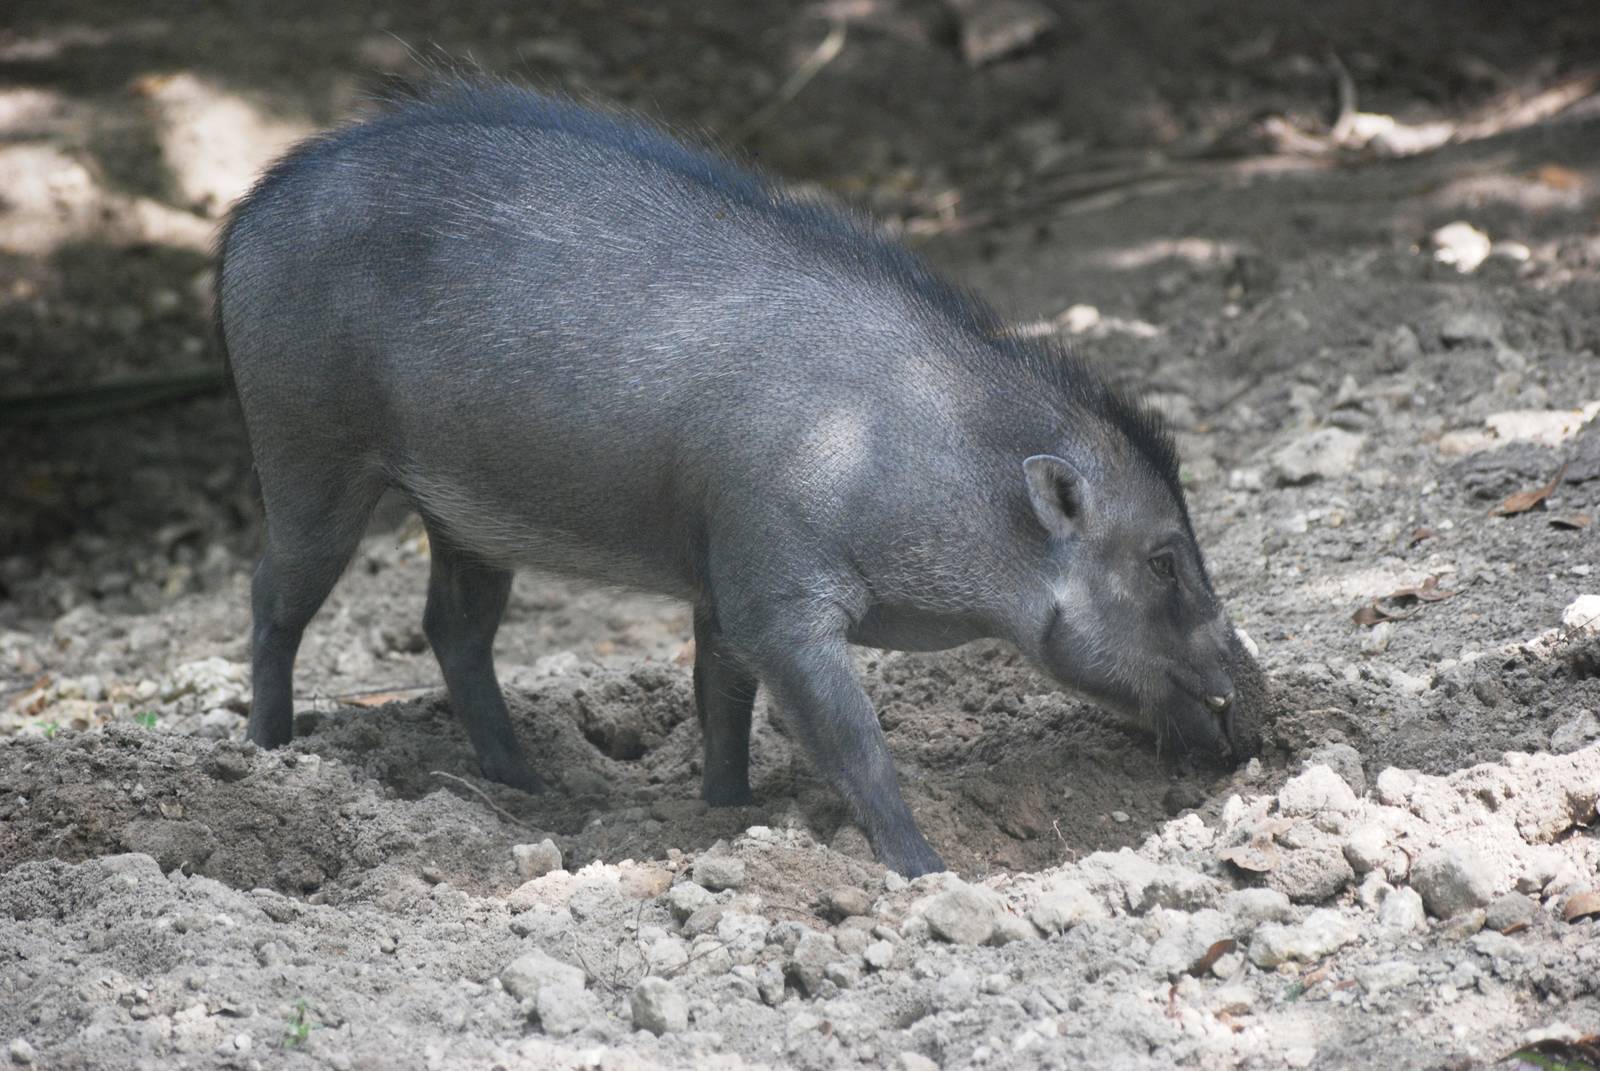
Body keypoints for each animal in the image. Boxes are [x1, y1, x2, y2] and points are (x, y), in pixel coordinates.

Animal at [217, 82, 1255, 877]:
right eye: (1164, 560)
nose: (1259, 705)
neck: (899, 454)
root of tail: (244, 219)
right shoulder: (777, 597)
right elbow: (855, 742)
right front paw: (926, 870)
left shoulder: (721, 584)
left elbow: (722, 700)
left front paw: (727, 809)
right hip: (308, 457)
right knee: (273, 596)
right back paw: (270, 753)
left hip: (463, 518)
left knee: (452, 627)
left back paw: (529, 786)